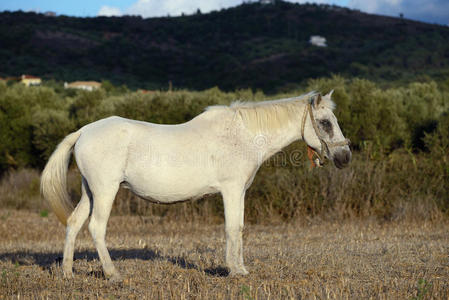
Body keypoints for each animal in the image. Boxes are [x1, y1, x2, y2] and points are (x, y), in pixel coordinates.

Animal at [40, 90, 350, 280]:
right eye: (325, 122)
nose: (344, 157)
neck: (244, 135)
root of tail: (84, 131)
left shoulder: (239, 191)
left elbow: (239, 228)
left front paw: (240, 267)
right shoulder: (232, 190)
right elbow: (233, 228)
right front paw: (235, 271)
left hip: (90, 191)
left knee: (74, 222)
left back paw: (68, 273)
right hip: (106, 191)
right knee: (96, 227)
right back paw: (113, 274)